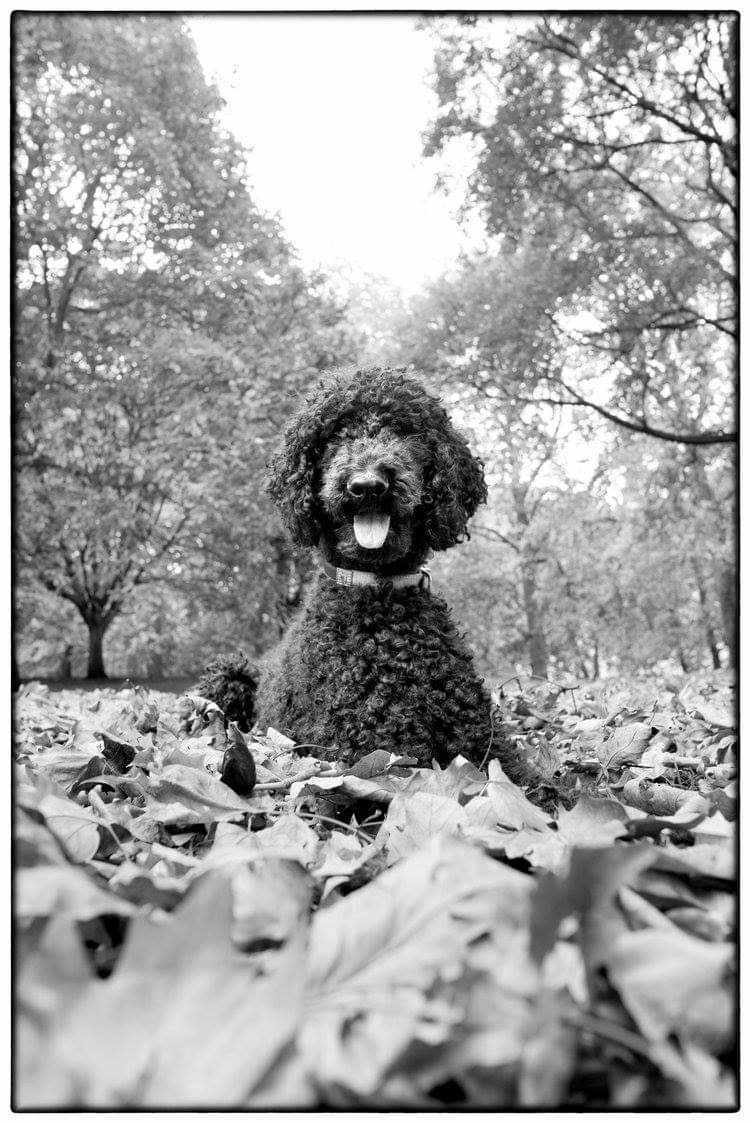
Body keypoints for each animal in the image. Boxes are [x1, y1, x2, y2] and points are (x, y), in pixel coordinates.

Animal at [196, 368, 494, 772]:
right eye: (336, 434)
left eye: (404, 430)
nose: (368, 485)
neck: (380, 596)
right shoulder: (373, 750)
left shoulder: (484, 743)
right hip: (228, 674)